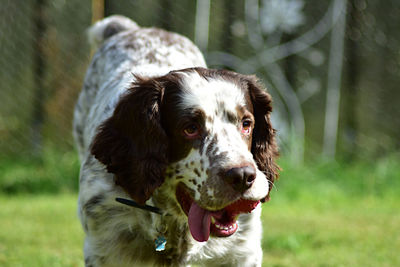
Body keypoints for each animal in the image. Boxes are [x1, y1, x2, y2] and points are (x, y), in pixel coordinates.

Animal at [72, 15, 278, 266]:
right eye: (190, 128)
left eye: (246, 123)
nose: (242, 176)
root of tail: (131, 29)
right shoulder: (104, 248)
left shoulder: (242, 251)